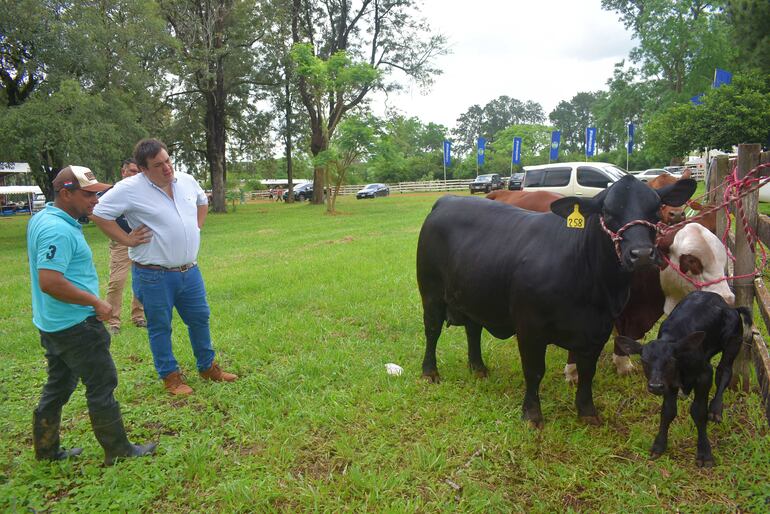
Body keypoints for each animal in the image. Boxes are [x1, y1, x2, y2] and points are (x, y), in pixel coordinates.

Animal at [416, 174, 692, 426]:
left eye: (655, 209)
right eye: (606, 211)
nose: (642, 254)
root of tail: (448, 199)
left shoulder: (599, 329)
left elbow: (587, 371)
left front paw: (587, 411)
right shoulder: (530, 328)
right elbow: (534, 371)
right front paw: (532, 414)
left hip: (473, 294)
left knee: (473, 329)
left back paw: (478, 368)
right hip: (431, 291)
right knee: (432, 330)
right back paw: (430, 372)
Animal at [616, 290, 752, 466]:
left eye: (670, 360)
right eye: (644, 361)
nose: (655, 386)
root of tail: (730, 307)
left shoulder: (704, 374)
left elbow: (698, 412)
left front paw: (704, 453)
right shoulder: (668, 383)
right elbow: (668, 412)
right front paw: (659, 445)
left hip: (733, 342)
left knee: (724, 372)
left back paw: (716, 409)